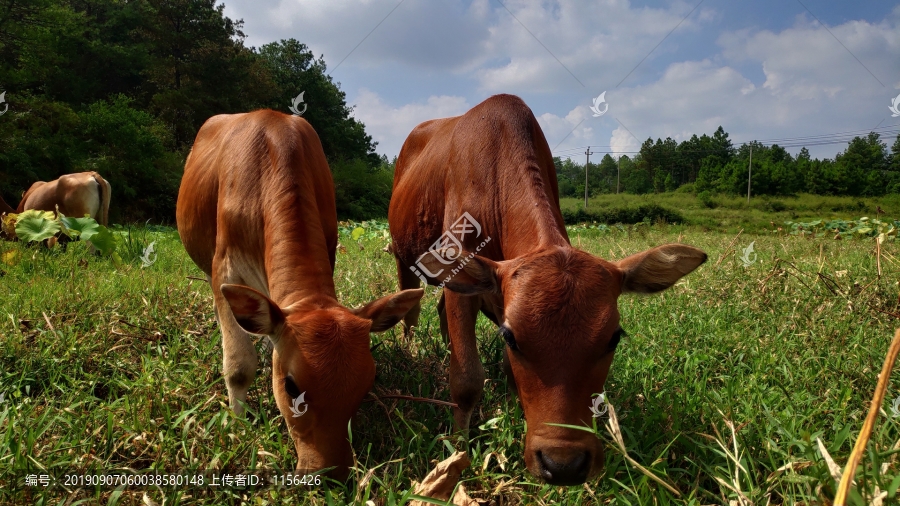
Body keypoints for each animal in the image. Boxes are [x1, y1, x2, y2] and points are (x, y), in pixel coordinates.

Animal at [178, 109, 426, 478]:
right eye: (291, 386)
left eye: (366, 384)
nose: (331, 473)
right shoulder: (224, 269)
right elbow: (239, 364)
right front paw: (237, 424)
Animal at [390, 95, 708, 486]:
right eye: (511, 338)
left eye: (614, 338)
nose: (564, 464)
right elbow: (466, 379)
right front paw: (458, 449)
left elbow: (509, 374)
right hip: (403, 255)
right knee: (410, 308)